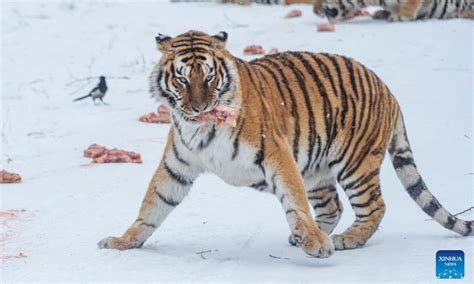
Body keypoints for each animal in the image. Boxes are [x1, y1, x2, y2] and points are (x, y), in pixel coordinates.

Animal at [98, 30, 472, 258]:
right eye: (181, 78)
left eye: (209, 76)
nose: (199, 107)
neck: (204, 129)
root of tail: (386, 87)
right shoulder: (176, 166)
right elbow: (151, 206)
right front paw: (123, 241)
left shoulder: (276, 154)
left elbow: (294, 202)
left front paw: (318, 246)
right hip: (318, 170)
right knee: (333, 206)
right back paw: (308, 236)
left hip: (356, 164)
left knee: (374, 207)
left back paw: (344, 239)